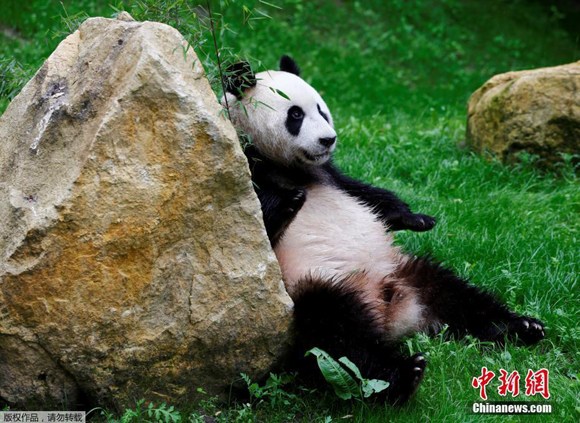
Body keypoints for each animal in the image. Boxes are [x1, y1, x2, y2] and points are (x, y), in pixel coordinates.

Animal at [221, 55, 544, 404]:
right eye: (295, 115)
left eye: (321, 109)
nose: (328, 139)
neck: (287, 167)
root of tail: (391, 313)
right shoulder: (241, 168)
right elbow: (251, 225)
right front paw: (290, 200)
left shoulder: (330, 174)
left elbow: (369, 195)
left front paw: (416, 219)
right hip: (314, 283)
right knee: (341, 337)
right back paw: (403, 376)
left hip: (406, 269)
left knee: (457, 294)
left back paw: (521, 327)